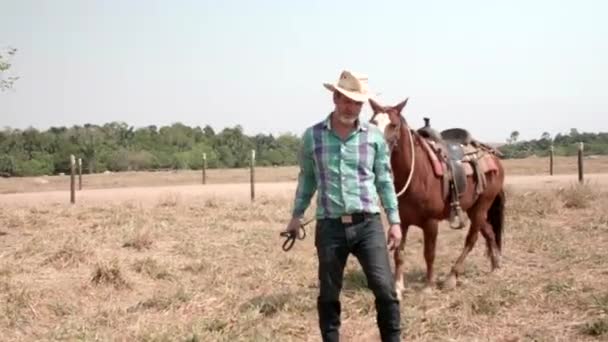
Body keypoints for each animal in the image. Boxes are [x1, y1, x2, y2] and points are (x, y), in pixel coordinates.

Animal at [368, 97, 506, 296]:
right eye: (372, 122)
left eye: (393, 125)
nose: (374, 147)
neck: (417, 173)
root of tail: (493, 157)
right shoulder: (401, 221)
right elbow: (399, 253)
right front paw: (398, 286)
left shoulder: (430, 222)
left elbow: (429, 253)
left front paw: (428, 286)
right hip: (474, 209)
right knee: (489, 232)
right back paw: (496, 266)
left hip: (481, 207)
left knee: (471, 240)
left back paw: (451, 277)